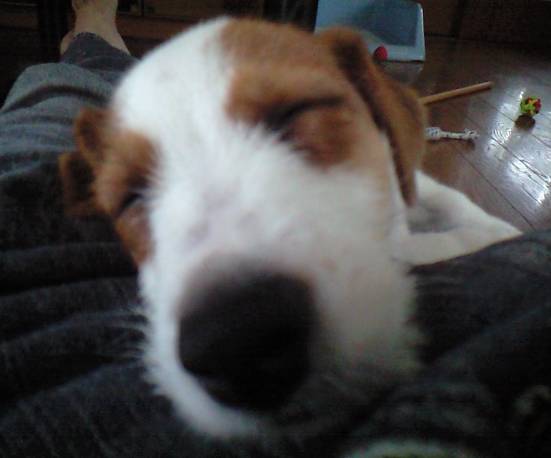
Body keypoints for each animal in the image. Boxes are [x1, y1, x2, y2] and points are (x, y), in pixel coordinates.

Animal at [59, 17, 520, 442]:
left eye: (297, 111)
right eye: (129, 198)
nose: (236, 343)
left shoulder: (414, 184)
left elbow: (459, 210)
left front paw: (493, 230)